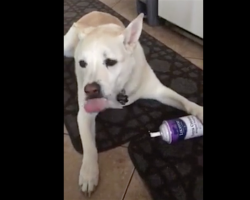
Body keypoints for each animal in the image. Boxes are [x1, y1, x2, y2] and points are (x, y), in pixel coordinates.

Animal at [63, 10, 202, 195]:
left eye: (110, 62)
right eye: (82, 63)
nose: (90, 90)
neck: (120, 89)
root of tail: (96, 11)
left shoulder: (160, 91)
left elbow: (186, 102)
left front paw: (200, 111)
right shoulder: (85, 114)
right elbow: (89, 145)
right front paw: (89, 173)